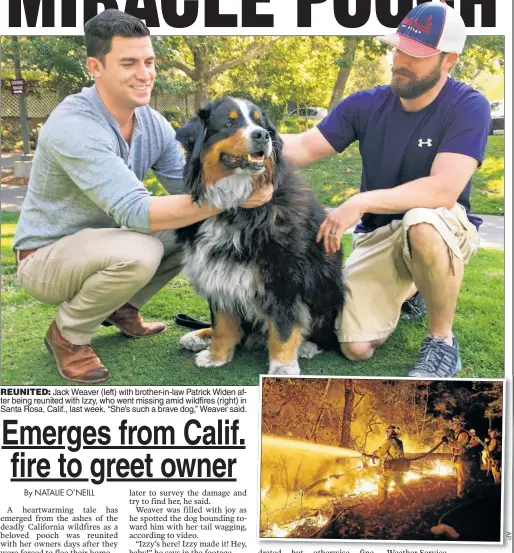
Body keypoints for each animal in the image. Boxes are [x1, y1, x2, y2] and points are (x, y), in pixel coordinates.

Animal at [174, 98, 342, 376]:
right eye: (229, 123)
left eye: (259, 122)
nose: (262, 135)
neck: (236, 207)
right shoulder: (217, 269)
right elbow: (222, 323)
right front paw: (217, 355)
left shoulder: (284, 274)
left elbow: (284, 327)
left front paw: (283, 368)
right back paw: (199, 336)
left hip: (328, 289)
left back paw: (308, 346)